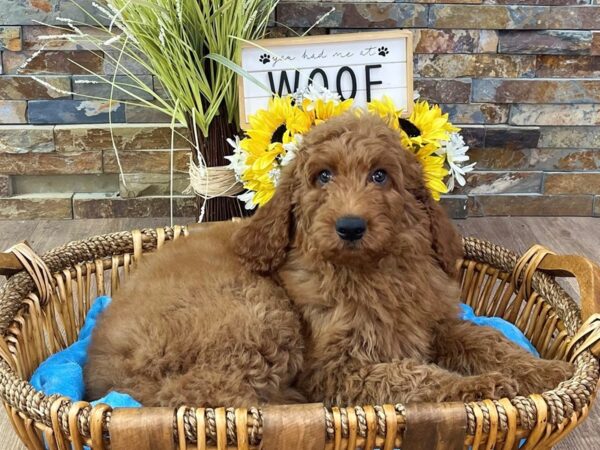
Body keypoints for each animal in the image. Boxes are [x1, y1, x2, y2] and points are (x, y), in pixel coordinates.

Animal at [85, 113, 572, 408]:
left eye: (380, 176)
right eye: (323, 176)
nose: (350, 226)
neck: (370, 270)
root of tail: (101, 377)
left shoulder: (436, 323)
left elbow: (488, 340)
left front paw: (545, 370)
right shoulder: (337, 372)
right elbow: (412, 378)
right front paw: (478, 387)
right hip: (258, 314)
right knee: (203, 394)